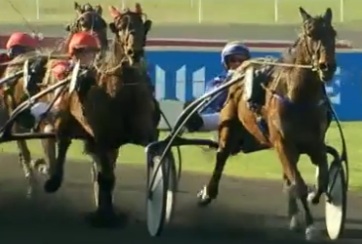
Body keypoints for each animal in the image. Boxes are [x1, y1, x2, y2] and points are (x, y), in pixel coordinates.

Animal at [41, 3, 158, 227]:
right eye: (120, 27)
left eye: (143, 26)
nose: (134, 52)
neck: (123, 93)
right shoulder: (102, 136)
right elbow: (106, 177)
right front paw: (105, 215)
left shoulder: (145, 132)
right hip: (65, 113)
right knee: (63, 141)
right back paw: (53, 180)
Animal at [198, 7, 336, 240]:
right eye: (310, 34)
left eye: (333, 34)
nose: (328, 67)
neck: (299, 98)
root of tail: (242, 69)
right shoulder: (284, 143)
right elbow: (298, 184)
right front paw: (310, 225)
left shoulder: (315, 143)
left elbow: (323, 180)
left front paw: (312, 198)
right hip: (229, 125)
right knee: (221, 156)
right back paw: (208, 193)